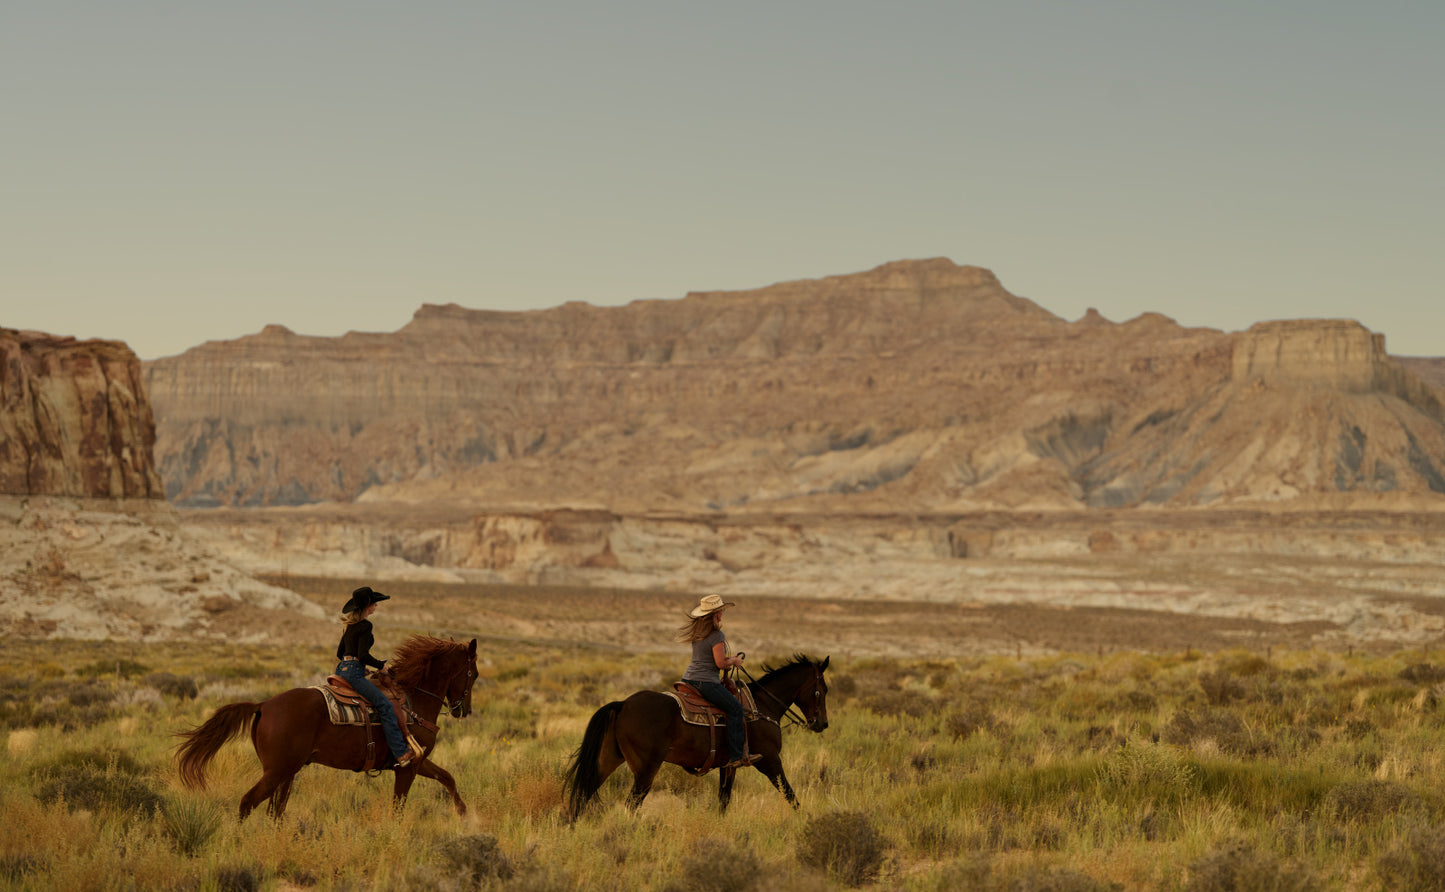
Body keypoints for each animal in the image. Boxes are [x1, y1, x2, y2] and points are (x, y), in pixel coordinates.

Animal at [174, 633, 479, 821]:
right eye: (473, 674)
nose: (464, 710)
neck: (413, 700)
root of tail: (264, 704)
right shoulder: (408, 766)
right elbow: (399, 807)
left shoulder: (418, 762)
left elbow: (448, 778)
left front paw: (464, 815)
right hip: (278, 771)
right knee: (248, 803)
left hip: (286, 772)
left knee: (275, 810)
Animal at [566, 650, 838, 815]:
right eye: (821, 690)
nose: (822, 723)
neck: (762, 706)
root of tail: (623, 704)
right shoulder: (770, 761)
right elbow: (791, 796)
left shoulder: (728, 767)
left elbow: (723, 802)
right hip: (646, 769)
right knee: (631, 804)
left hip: (608, 759)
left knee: (583, 794)